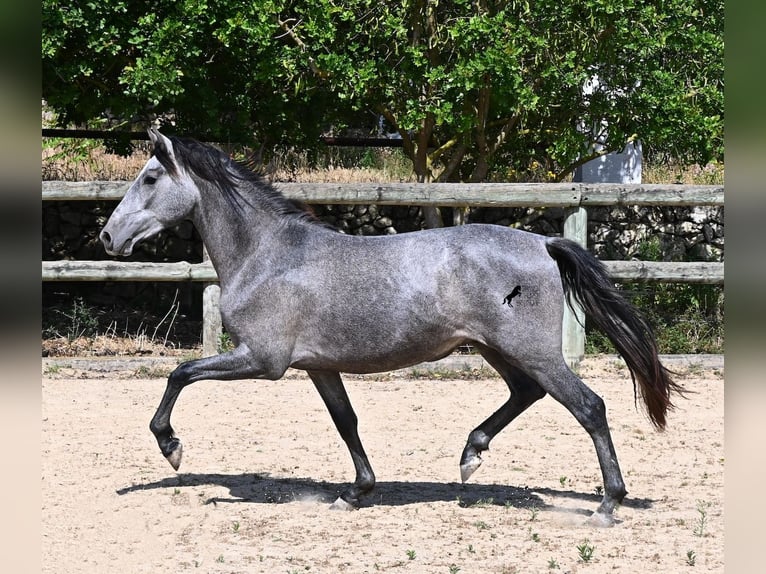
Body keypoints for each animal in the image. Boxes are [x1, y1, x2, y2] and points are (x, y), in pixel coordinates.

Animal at [100, 128, 683, 525]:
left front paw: (171, 447)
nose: (108, 237)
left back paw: (606, 504)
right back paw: (471, 456)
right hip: (496, 348)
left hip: (529, 349)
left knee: (588, 406)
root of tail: (543, 242)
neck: (268, 255)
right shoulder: (318, 367)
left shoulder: (263, 360)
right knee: (526, 394)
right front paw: (356, 491)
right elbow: (347, 422)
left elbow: (179, 373)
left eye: (149, 178)